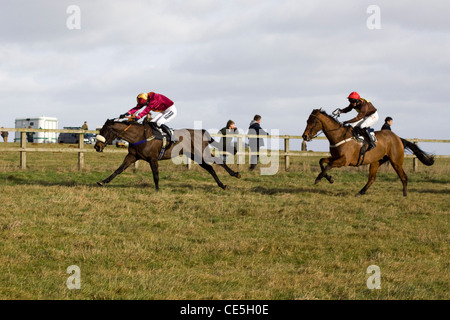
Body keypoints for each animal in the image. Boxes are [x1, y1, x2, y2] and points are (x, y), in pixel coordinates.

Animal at [93, 120, 241, 190]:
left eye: (105, 131)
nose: (97, 146)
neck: (139, 136)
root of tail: (202, 132)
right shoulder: (132, 157)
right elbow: (118, 170)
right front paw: (103, 181)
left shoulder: (153, 159)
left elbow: (156, 175)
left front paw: (158, 190)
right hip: (195, 156)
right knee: (210, 168)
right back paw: (222, 185)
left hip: (202, 153)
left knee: (218, 161)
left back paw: (235, 174)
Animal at [300, 109, 434, 196]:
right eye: (307, 120)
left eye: (313, 122)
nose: (305, 136)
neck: (338, 136)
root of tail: (398, 138)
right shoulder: (335, 157)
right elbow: (321, 161)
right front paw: (329, 178)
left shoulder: (344, 160)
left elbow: (328, 165)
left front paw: (320, 178)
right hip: (376, 162)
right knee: (372, 178)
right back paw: (361, 192)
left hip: (396, 161)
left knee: (403, 176)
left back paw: (405, 194)